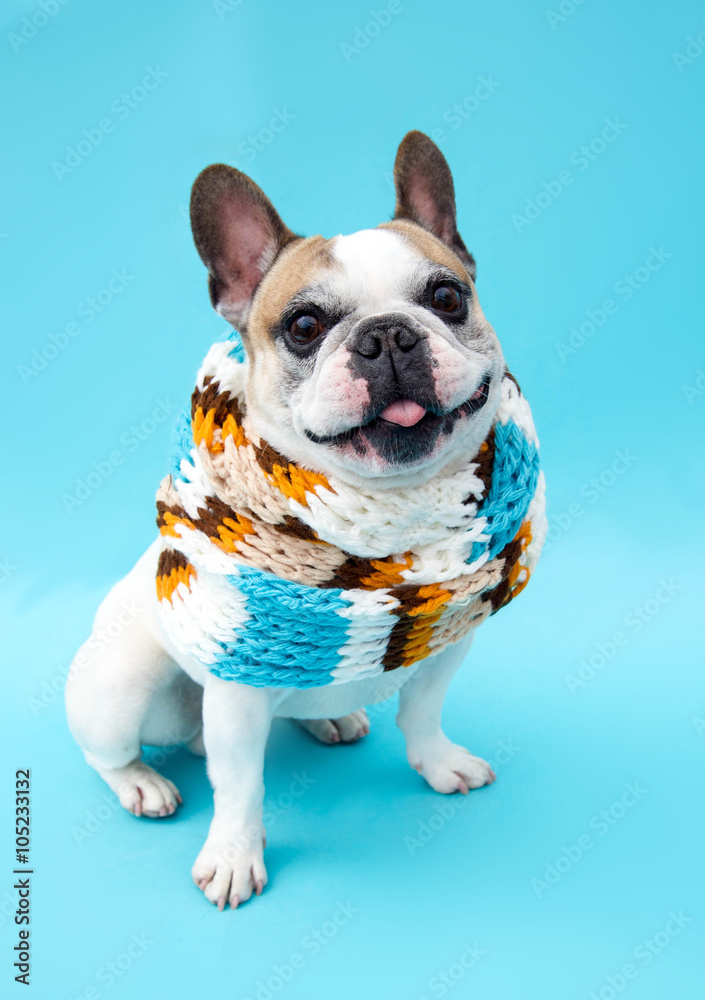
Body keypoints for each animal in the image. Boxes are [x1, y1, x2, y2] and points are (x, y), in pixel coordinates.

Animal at [64, 129, 544, 912]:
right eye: (305, 326)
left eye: (447, 297)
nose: (388, 336)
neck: (391, 509)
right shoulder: (235, 696)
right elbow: (239, 788)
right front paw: (234, 854)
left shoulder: (446, 646)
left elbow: (423, 713)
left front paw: (438, 762)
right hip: (123, 683)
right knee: (111, 751)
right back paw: (143, 783)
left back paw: (331, 715)